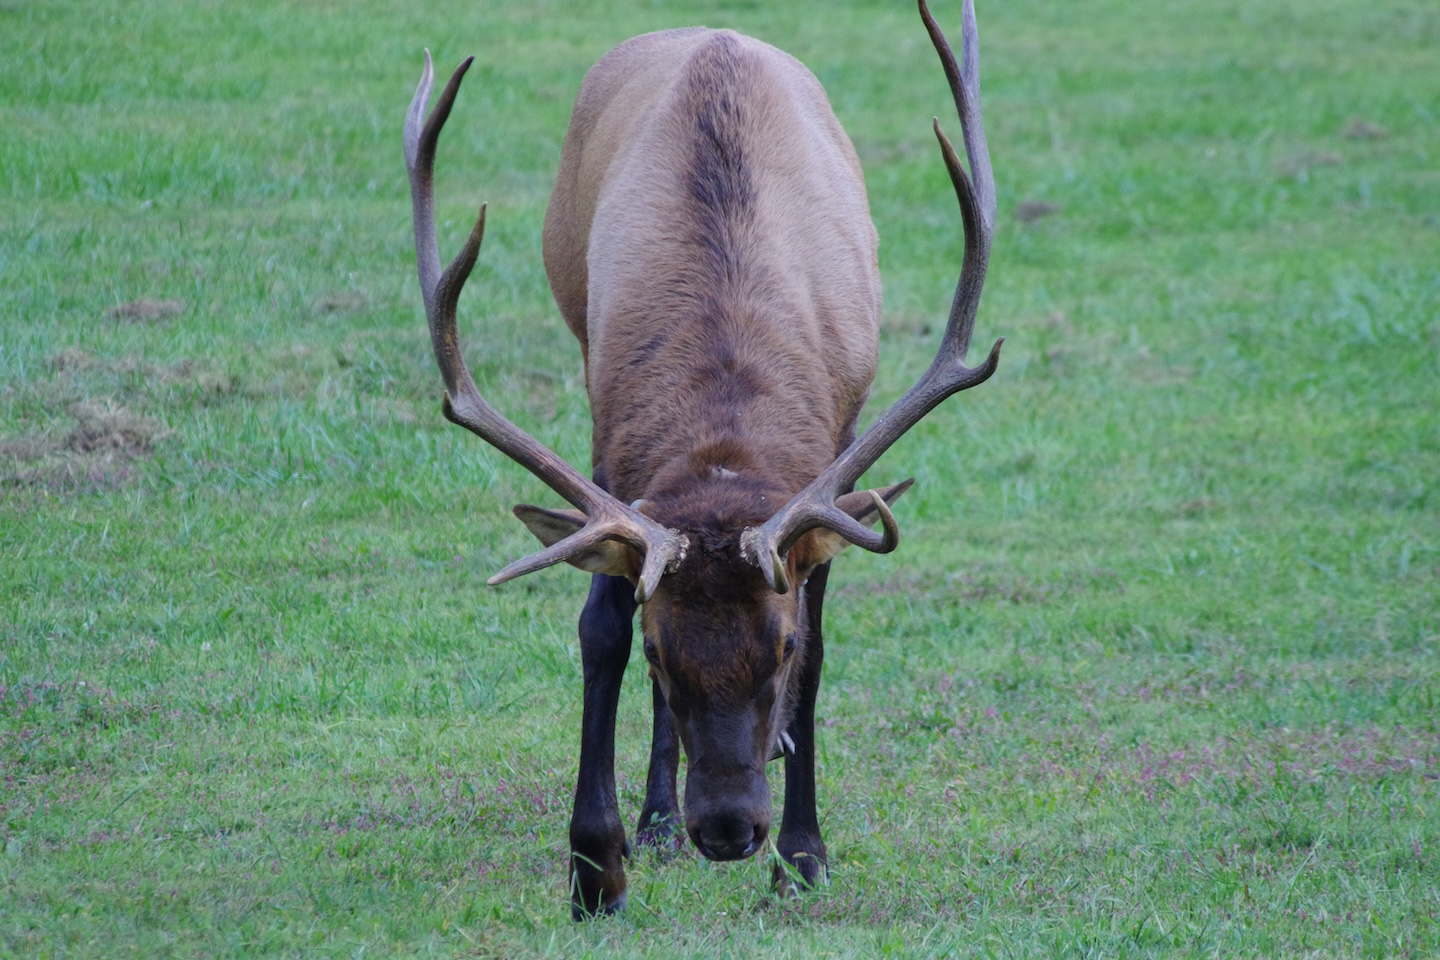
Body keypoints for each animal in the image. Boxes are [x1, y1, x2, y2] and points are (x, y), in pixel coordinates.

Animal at [405, 0, 1002, 918]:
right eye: (660, 649)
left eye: (780, 647)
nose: (725, 830)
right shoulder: (611, 450)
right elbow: (599, 627)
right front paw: (595, 864)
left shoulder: (834, 467)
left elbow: (825, 649)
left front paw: (802, 855)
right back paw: (654, 819)